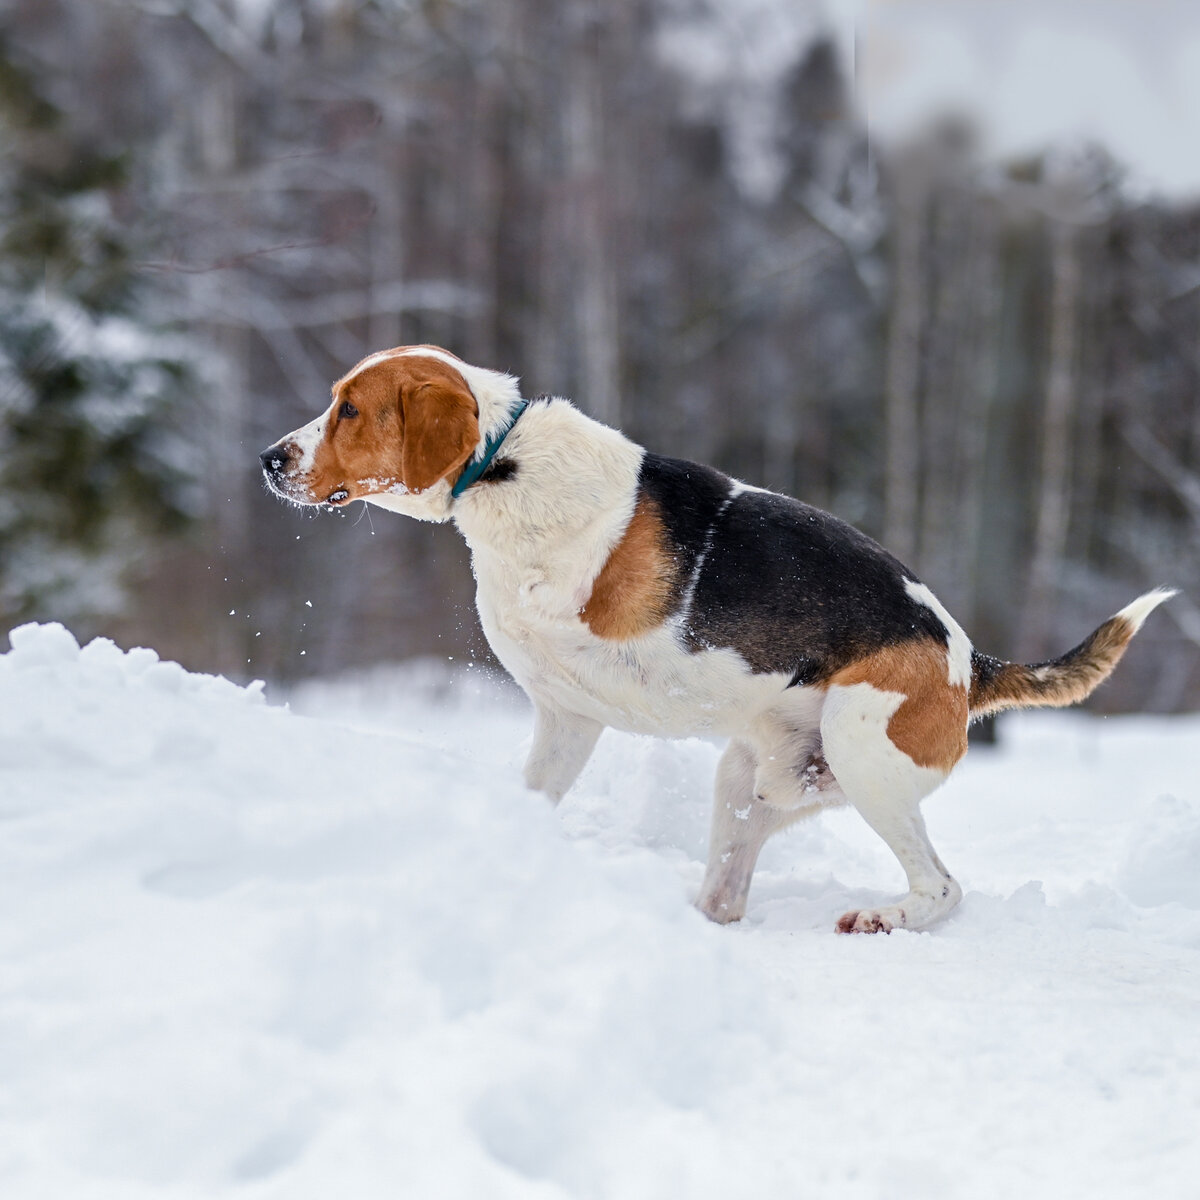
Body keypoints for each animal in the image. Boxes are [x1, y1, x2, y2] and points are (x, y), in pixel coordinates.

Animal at [260, 343, 1171, 931]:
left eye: (348, 409)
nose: (270, 458)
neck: (501, 463)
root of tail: (970, 661)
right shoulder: (565, 718)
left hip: (862, 750)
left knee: (944, 890)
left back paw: (887, 915)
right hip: (751, 782)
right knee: (730, 891)